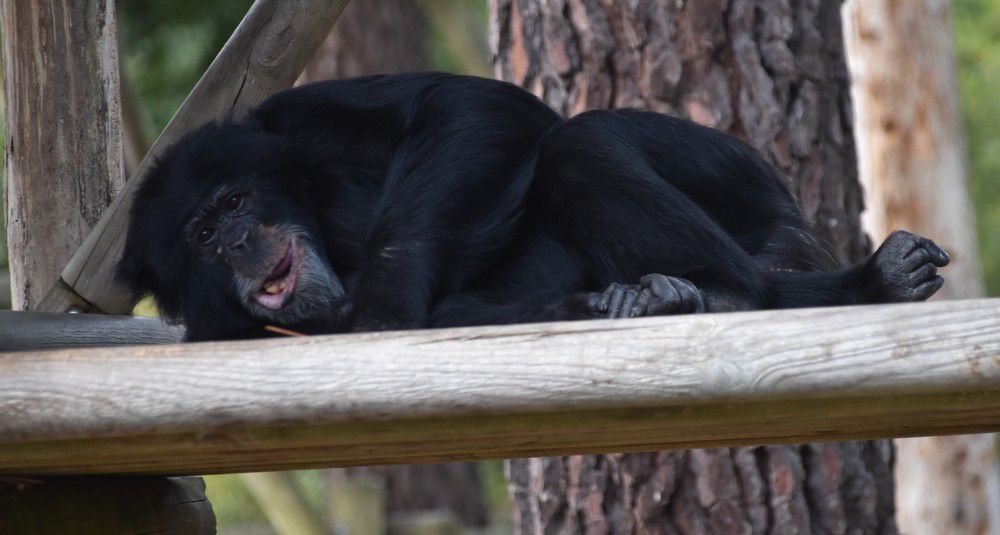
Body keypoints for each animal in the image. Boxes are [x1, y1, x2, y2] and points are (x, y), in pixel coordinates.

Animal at [117, 71, 944, 342]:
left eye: (234, 199)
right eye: (200, 232)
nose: (235, 239)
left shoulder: (299, 119)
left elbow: (469, 109)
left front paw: (385, 299)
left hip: (740, 182)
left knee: (579, 140)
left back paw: (737, 291)